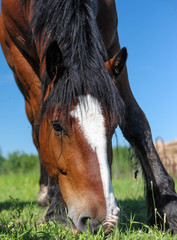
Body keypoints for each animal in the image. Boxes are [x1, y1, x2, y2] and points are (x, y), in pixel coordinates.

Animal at [0, 0, 177, 233]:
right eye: (56, 126)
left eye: (113, 126)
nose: (101, 221)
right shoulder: (16, 53)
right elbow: (40, 118)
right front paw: (57, 207)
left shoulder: (112, 42)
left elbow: (135, 120)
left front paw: (167, 209)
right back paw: (45, 194)